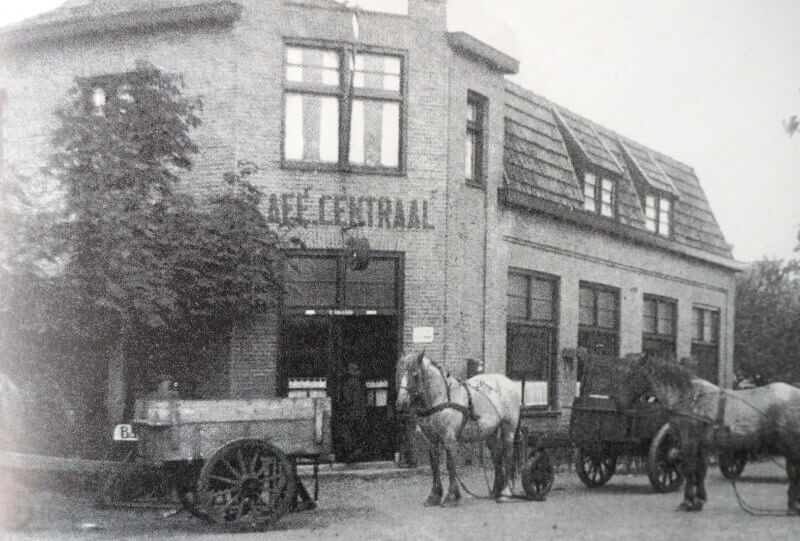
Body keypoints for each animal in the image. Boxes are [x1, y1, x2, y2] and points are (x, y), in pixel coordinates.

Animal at [620, 356, 800, 512]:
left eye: (633, 374)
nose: (620, 402)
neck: (689, 397)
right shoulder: (702, 445)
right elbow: (700, 471)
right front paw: (698, 500)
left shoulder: (689, 441)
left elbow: (689, 469)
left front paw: (687, 502)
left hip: (789, 442)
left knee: (794, 469)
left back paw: (793, 504)